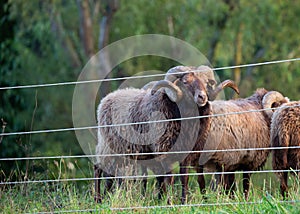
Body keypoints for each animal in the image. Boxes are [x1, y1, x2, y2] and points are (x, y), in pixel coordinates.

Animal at [94, 65, 239, 202]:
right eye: (185, 82)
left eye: (206, 82)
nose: (202, 97)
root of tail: (106, 99)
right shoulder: (164, 151)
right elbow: (169, 179)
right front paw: (169, 202)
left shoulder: (188, 154)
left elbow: (186, 178)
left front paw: (185, 202)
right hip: (109, 147)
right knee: (98, 168)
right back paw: (98, 200)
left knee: (110, 173)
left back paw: (107, 197)